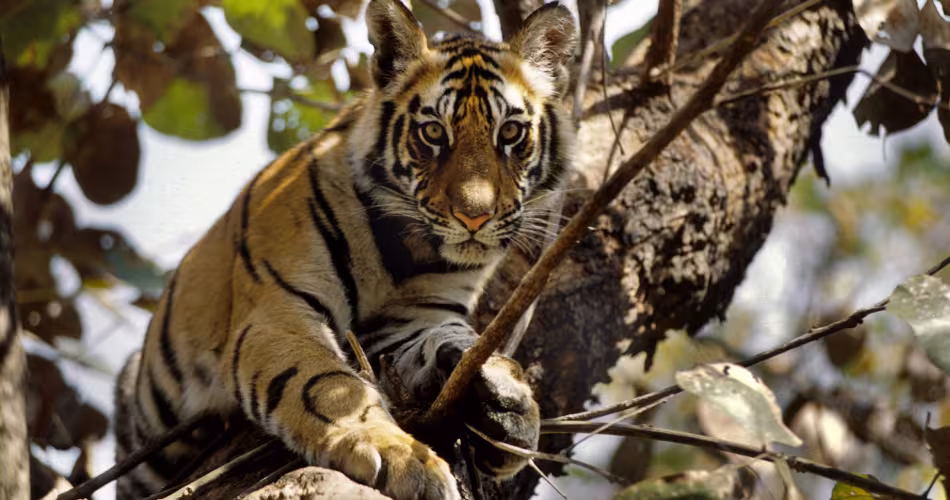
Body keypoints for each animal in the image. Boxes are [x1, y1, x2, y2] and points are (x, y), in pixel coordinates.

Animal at [113, 0, 576, 498]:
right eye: (433, 133)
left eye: (510, 133)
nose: (475, 217)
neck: (408, 249)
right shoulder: (277, 312)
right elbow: (326, 385)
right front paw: (399, 456)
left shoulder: (409, 321)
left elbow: (450, 339)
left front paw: (509, 404)